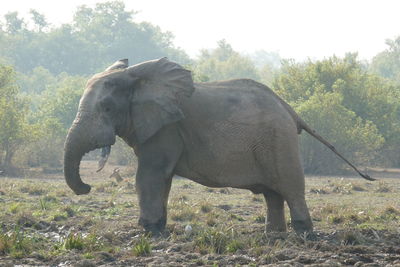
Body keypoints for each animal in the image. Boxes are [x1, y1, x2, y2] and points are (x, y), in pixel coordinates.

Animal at [64, 58, 374, 234]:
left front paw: (148, 232)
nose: (87, 187)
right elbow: (161, 179)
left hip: (279, 141)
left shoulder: (167, 128)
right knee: (272, 193)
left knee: (290, 187)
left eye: (106, 107)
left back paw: (304, 235)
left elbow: (150, 176)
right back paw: (273, 235)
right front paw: (157, 230)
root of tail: (290, 110)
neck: (137, 76)